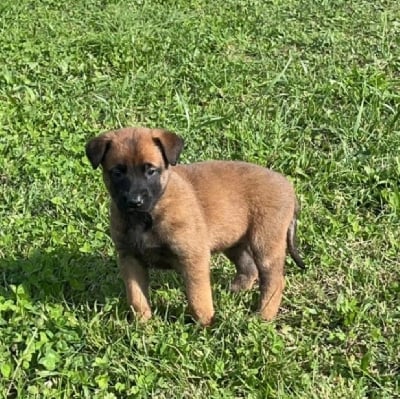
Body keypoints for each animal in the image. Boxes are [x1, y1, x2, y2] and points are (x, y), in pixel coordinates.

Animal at [84, 126, 304, 326]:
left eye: (151, 171)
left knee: (274, 281)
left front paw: (206, 325)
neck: (148, 216)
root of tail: (289, 187)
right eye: (117, 172)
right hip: (234, 240)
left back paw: (264, 316)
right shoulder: (130, 258)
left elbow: (198, 296)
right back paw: (235, 291)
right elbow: (136, 296)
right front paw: (143, 324)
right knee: (249, 267)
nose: (134, 201)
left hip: (265, 243)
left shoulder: (192, 257)